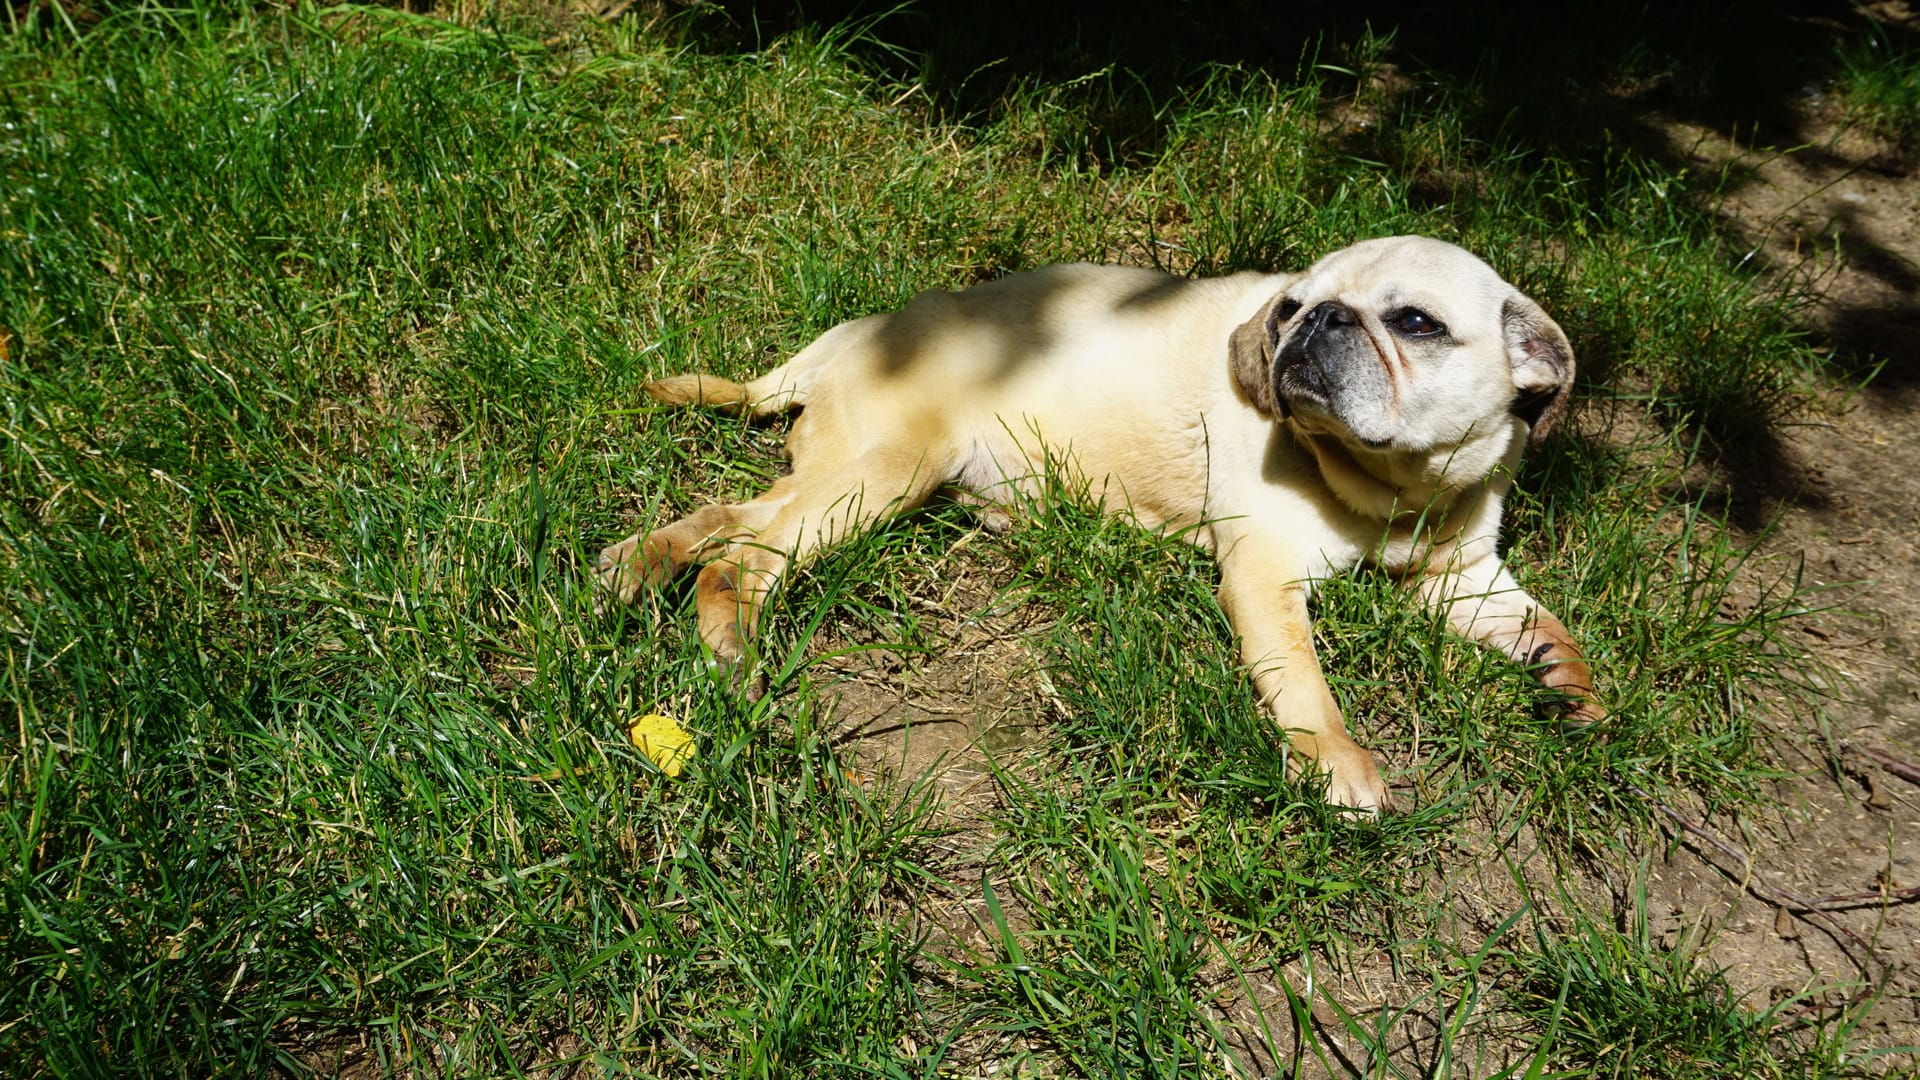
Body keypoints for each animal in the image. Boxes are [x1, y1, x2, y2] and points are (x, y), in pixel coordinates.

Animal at [599, 235, 1605, 807]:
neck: (1396, 490)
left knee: (723, 518)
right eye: (1287, 307)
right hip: (886, 473)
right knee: (742, 558)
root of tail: (857, 334)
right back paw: (728, 642)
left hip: (847, 471)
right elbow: (1304, 684)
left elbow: (1550, 629)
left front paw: (1576, 687)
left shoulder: (1463, 581)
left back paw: (635, 567)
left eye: (1416, 323)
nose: (1312, 321)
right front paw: (1337, 763)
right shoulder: (1265, 574)